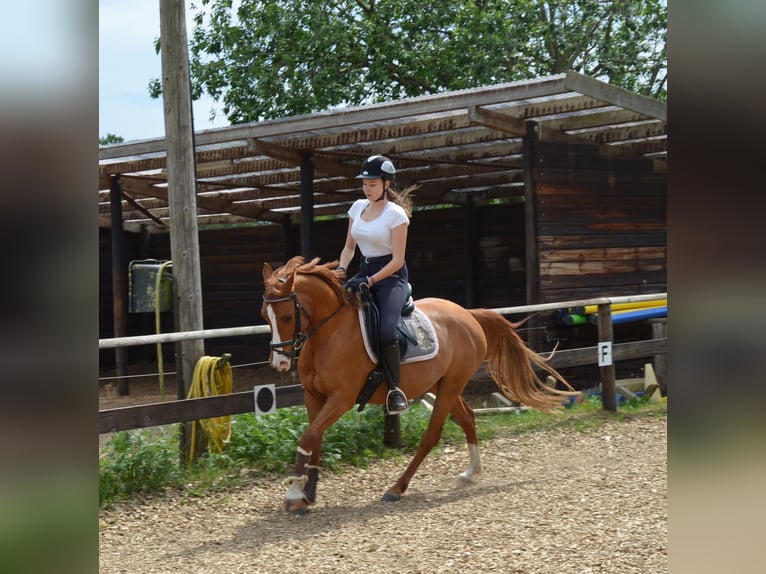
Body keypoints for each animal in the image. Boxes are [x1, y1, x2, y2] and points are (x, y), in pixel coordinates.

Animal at [260, 256, 580, 512]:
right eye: (265, 316)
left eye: (286, 316)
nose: (280, 364)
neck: (329, 334)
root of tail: (467, 314)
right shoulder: (314, 397)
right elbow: (314, 439)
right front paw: (307, 493)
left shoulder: (341, 399)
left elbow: (308, 438)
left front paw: (293, 492)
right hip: (441, 384)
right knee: (468, 417)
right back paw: (470, 473)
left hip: (451, 384)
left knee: (432, 435)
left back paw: (396, 488)